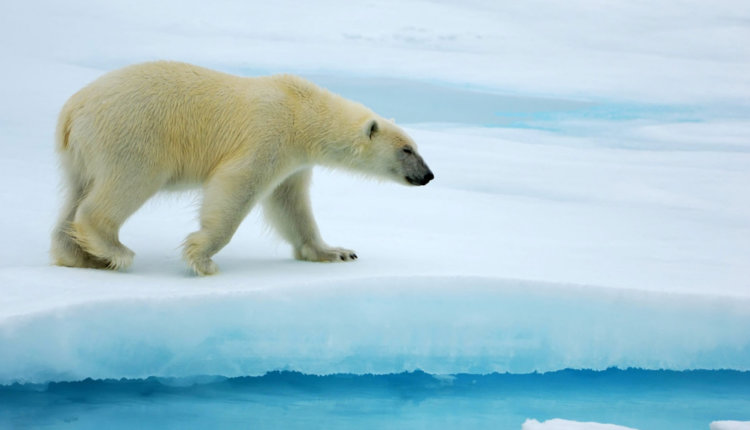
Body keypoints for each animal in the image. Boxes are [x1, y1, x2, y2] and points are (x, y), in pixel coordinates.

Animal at [51, 61, 434, 276]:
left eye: (416, 147)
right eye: (406, 149)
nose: (428, 176)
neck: (303, 112)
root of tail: (72, 110)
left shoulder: (294, 161)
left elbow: (291, 204)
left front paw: (336, 252)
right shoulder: (269, 135)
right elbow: (237, 186)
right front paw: (202, 257)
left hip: (81, 154)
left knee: (75, 193)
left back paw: (80, 255)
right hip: (133, 135)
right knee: (125, 185)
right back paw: (114, 250)